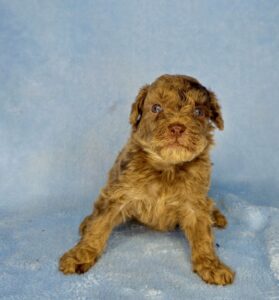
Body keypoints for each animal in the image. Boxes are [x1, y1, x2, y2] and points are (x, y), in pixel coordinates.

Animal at [59, 74, 236, 284]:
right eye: (156, 108)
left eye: (198, 112)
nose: (177, 128)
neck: (167, 168)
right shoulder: (119, 192)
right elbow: (99, 225)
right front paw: (79, 255)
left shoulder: (195, 203)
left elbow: (203, 236)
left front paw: (211, 265)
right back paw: (87, 221)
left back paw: (216, 216)